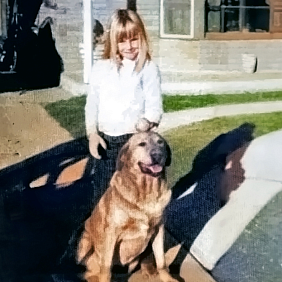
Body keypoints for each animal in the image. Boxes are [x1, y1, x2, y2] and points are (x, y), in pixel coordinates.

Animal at [76, 132, 178, 282]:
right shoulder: (111, 233)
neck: (146, 192)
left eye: (160, 143)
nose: (157, 154)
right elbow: (106, 267)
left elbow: (161, 261)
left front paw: (167, 278)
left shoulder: (159, 228)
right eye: (142, 144)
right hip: (85, 242)